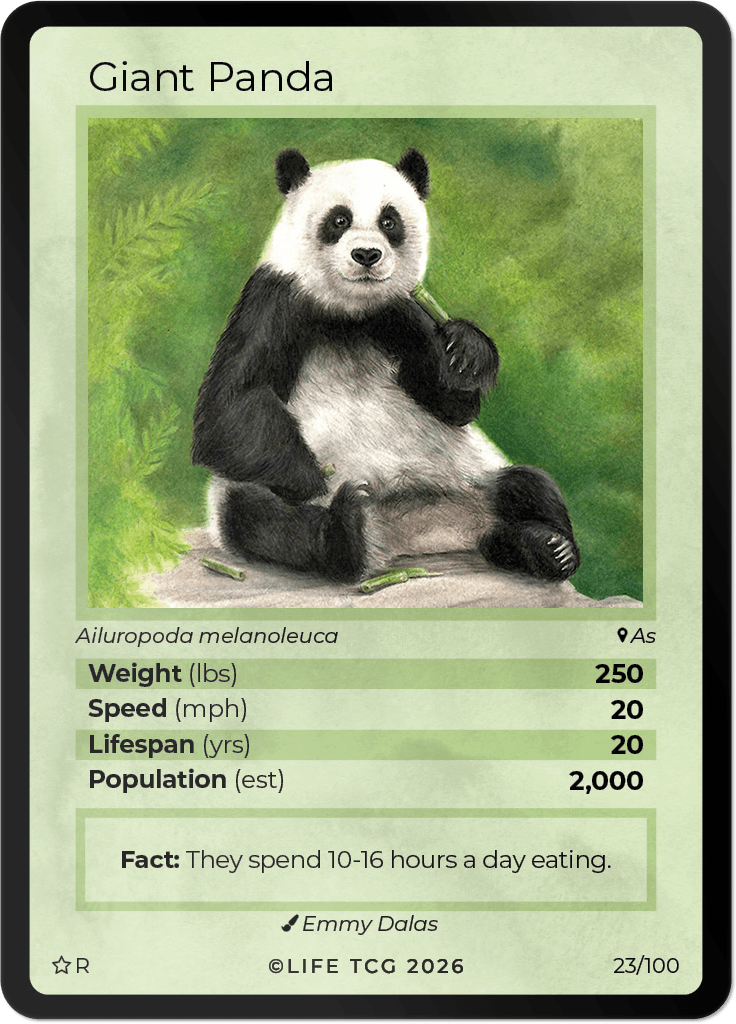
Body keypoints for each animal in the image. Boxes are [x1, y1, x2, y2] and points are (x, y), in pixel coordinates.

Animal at [192, 147, 580, 585]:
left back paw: (548, 549)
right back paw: (346, 527)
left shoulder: (398, 313)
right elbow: (226, 411)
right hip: (241, 494)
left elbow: (451, 406)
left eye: (389, 221)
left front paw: (467, 352)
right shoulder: (275, 300)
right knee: (263, 518)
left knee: (528, 485)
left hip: (473, 478)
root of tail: (414, 536)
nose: (366, 255)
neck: (347, 312)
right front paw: (318, 479)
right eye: (339, 220)